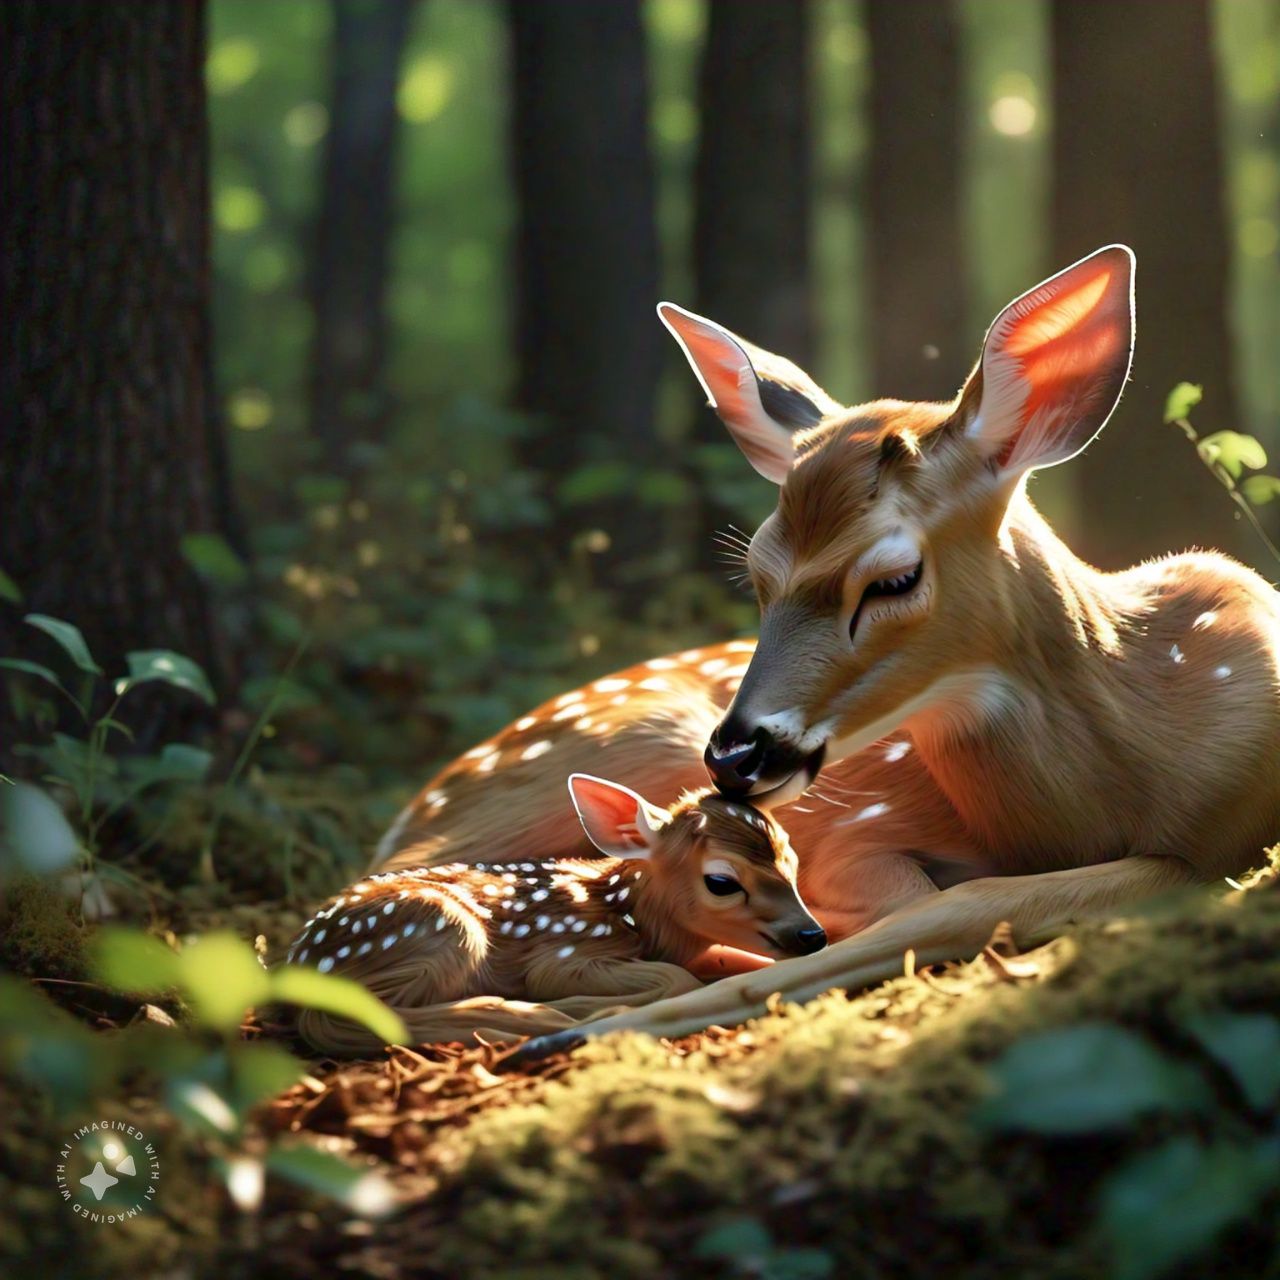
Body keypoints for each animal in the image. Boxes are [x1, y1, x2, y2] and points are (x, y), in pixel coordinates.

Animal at [285, 774, 823, 1054]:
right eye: (722, 882)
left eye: (794, 860)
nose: (812, 935)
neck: (631, 915)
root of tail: (297, 964)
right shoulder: (563, 952)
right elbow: (676, 979)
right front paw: (590, 1006)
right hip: (441, 928)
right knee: (344, 1020)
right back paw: (527, 1016)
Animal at [372, 244, 1280, 1058]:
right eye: (755, 571)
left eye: (895, 578)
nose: (735, 756)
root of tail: (411, 813)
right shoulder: (854, 835)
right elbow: (934, 904)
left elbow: (972, 903)